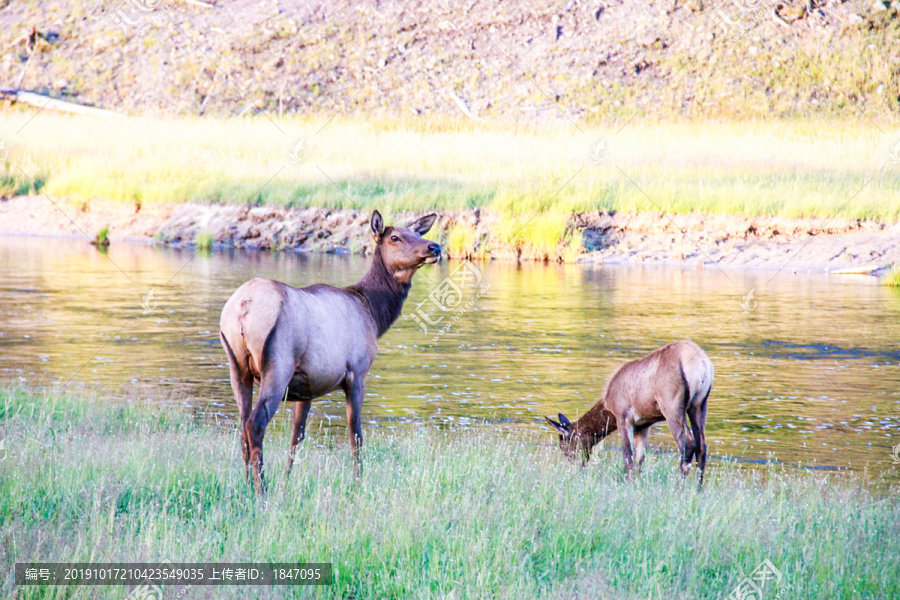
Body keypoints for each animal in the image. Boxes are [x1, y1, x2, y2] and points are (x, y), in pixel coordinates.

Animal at [220, 211, 442, 492]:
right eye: (395, 237)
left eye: (417, 233)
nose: (435, 247)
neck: (374, 314)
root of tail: (243, 307)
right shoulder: (357, 372)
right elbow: (355, 434)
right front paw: (358, 483)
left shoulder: (306, 385)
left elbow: (297, 436)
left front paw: (286, 481)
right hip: (277, 363)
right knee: (255, 423)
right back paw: (262, 490)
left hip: (236, 366)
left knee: (241, 425)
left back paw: (248, 484)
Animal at [544, 340, 712, 486]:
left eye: (565, 446)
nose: (575, 466)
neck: (608, 408)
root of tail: (702, 363)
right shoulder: (643, 425)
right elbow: (639, 458)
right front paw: (636, 483)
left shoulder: (623, 416)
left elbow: (627, 454)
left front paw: (628, 483)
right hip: (699, 405)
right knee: (702, 446)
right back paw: (698, 489)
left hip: (672, 404)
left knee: (688, 443)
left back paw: (679, 488)